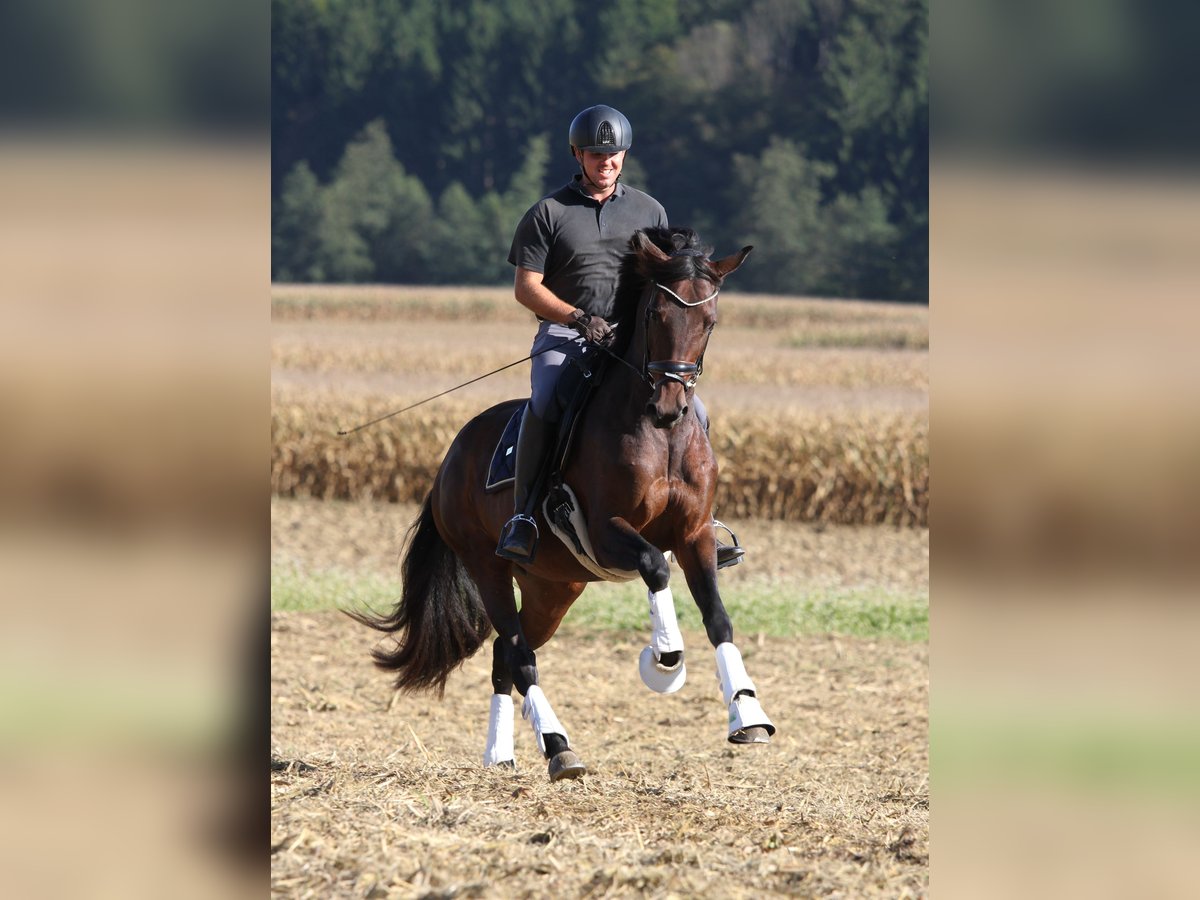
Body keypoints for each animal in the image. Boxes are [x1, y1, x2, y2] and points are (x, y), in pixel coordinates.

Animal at [348, 225, 777, 782]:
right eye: (655, 315)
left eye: (710, 322)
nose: (668, 406)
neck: (659, 437)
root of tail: (451, 456)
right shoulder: (606, 530)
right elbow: (654, 567)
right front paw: (664, 661)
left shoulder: (695, 534)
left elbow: (718, 617)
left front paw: (748, 713)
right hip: (488, 567)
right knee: (517, 652)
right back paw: (557, 747)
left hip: (555, 586)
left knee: (503, 654)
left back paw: (501, 755)